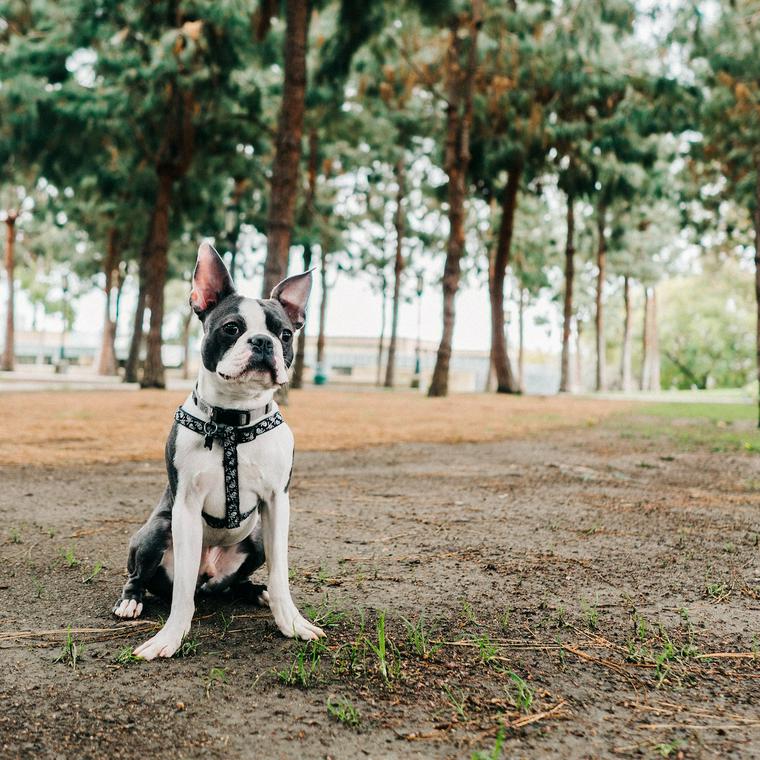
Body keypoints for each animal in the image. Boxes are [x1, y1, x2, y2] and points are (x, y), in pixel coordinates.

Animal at [113, 242, 324, 660]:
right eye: (232, 328)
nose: (262, 342)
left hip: (255, 539)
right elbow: (180, 593)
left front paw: (290, 622)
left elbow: (281, 573)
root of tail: (208, 576)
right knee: (143, 577)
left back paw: (255, 591)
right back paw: (131, 601)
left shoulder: (278, 503)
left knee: (234, 583)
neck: (233, 423)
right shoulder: (185, 507)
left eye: (285, 334)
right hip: (157, 529)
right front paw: (170, 637)